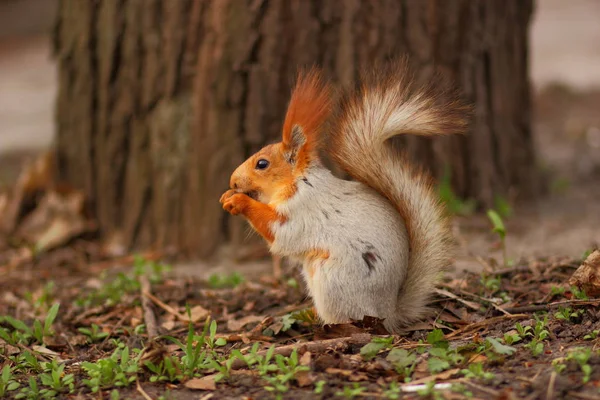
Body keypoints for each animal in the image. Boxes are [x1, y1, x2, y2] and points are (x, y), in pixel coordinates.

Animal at [218, 58, 472, 334]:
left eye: (262, 164)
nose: (233, 181)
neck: (298, 181)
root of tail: (389, 314)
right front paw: (226, 195)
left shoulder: (303, 209)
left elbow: (279, 229)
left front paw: (238, 200)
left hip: (333, 281)